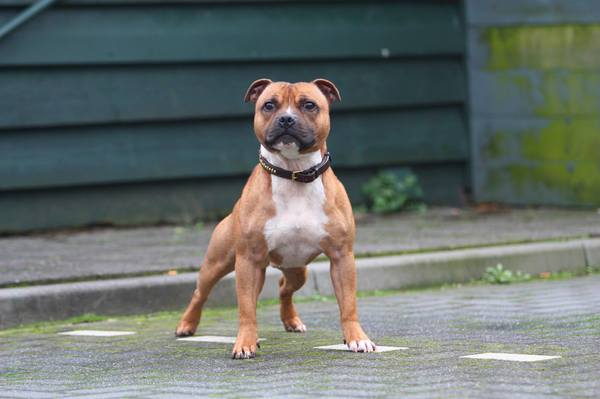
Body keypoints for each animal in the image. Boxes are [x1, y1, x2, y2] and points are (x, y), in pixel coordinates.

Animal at [173, 78, 378, 360]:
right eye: (269, 105)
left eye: (309, 105)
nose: (286, 119)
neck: (294, 173)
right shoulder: (248, 261)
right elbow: (246, 310)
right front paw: (245, 343)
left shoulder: (341, 257)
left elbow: (348, 305)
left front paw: (357, 338)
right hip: (219, 263)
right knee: (200, 293)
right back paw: (186, 325)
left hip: (297, 270)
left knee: (284, 287)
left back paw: (291, 321)